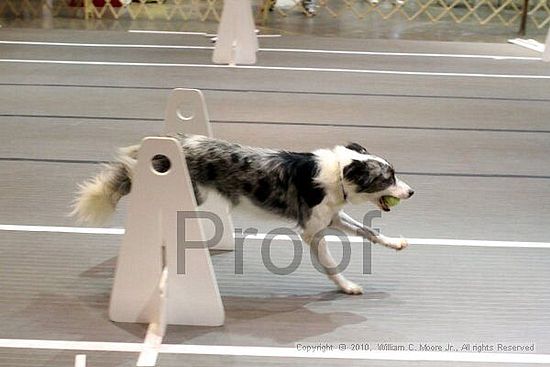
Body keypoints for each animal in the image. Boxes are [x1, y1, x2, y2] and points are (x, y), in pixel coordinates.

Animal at [74, 135, 418, 296]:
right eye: (388, 178)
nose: (412, 192)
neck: (338, 174)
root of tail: (174, 141)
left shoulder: (332, 218)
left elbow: (369, 232)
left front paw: (395, 243)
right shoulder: (312, 230)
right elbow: (332, 265)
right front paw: (346, 287)